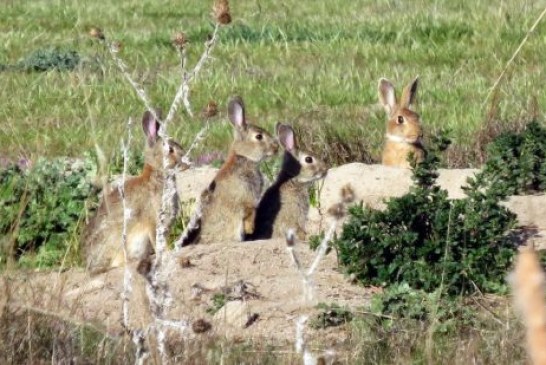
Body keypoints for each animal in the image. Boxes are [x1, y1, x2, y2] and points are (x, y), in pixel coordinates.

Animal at [83, 109, 187, 272]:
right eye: (170, 150)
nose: (185, 161)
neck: (157, 172)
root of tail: (91, 265)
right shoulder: (153, 221)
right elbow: (157, 241)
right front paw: (165, 254)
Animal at [183, 96, 278, 245]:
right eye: (259, 136)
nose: (276, 148)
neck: (243, 157)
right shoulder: (246, 198)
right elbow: (248, 214)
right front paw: (250, 230)